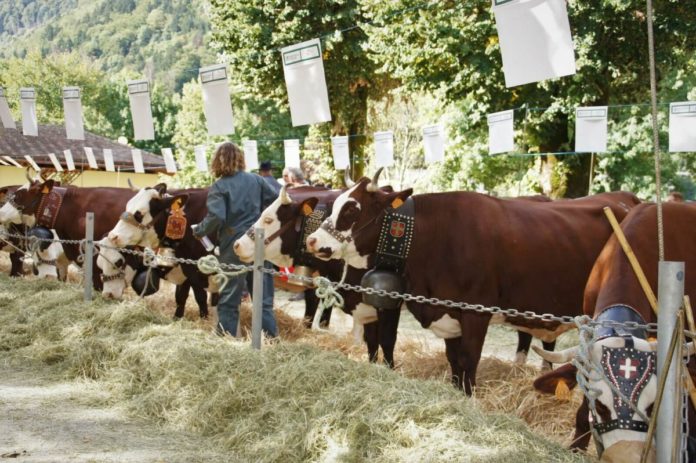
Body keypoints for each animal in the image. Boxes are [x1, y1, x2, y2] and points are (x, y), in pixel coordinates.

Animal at [308, 171, 640, 396]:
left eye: (352, 209)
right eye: (336, 204)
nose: (312, 240)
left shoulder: (475, 313)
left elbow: (469, 360)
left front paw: (469, 397)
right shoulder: (448, 312)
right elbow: (454, 361)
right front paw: (457, 393)